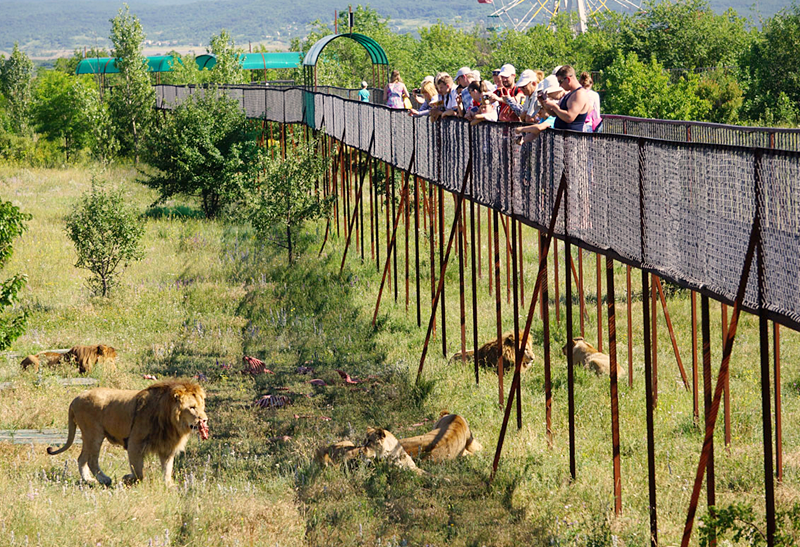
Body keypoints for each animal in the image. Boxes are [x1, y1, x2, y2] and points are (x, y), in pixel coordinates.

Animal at [45, 378, 209, 486]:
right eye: (192, 407)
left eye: (202, 406)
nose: (205, 420)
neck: (171, 422)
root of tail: (76, 398)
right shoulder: (135, 443)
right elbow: (139, 472)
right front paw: (128, 478)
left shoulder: (167, 447)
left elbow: (167, 469)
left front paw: (169, 486)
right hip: (94, 434)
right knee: (92, 460)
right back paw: (104, 479)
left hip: (88, 436)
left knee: (81, 458)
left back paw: (89, 480)